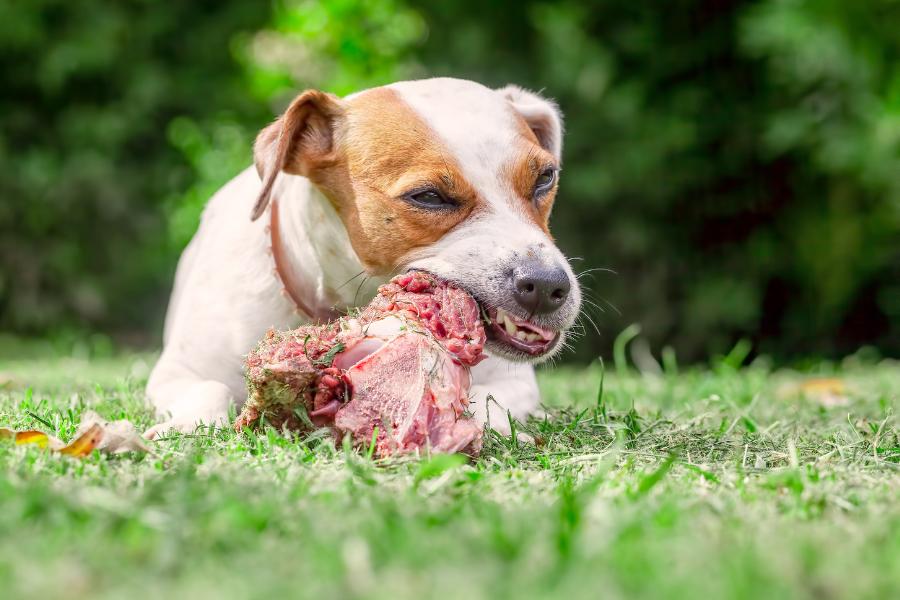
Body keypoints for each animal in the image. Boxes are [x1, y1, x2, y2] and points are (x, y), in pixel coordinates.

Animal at [146, 77, 584, 438]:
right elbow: (210, 388)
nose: (548, 285)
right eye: (429, 196)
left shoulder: (515, 382)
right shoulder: (177, 373)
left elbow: (485, 405)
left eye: (545, 177)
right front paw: (185, 426)